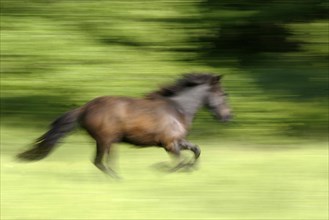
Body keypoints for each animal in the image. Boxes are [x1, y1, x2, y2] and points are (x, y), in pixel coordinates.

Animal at [16, 73, 231, 176]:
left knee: (104, 162)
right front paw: (160, 169)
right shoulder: (170, 143)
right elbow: (179, 162)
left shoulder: (177, 141)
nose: (228, 117)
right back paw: (118, 180)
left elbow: (196, 150)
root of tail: (85, 108)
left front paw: (189, 169)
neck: (177, 109)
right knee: (100, 162)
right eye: (223, 94)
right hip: (106, 140)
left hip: (109, 141)